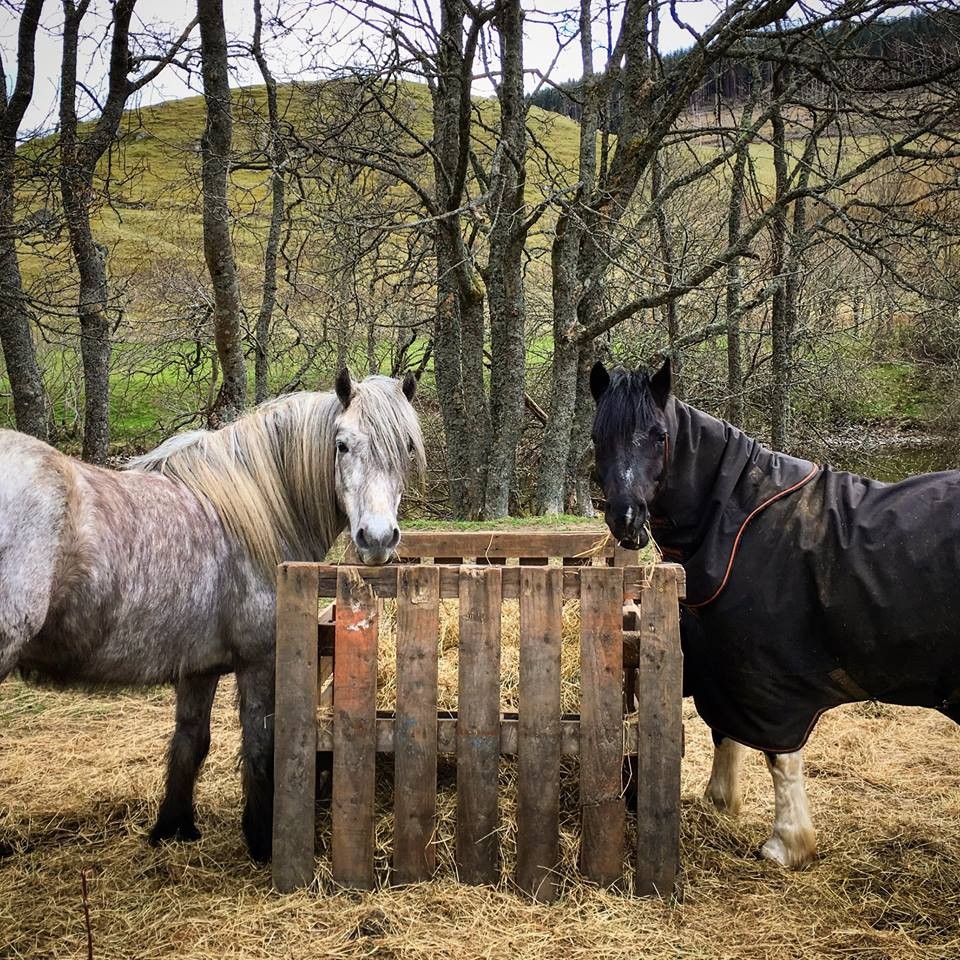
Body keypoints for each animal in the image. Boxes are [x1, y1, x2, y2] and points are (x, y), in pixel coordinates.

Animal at [0, 368, 424, 862]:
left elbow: (190, 743)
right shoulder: (259, 662)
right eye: (342, 445)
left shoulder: (197, 667)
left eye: (406, 448)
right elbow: (259, 744)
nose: (377, 539)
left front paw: (173, 828)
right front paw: (262, 839)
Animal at [590, 359, 960, 869]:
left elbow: (779, 757)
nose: (625, 519)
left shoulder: (772, 680)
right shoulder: (725, 666)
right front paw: (720, 801)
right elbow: (725, 731)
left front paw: (787, 844)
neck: (740, 520)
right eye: (596, 436)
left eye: (658, 434)